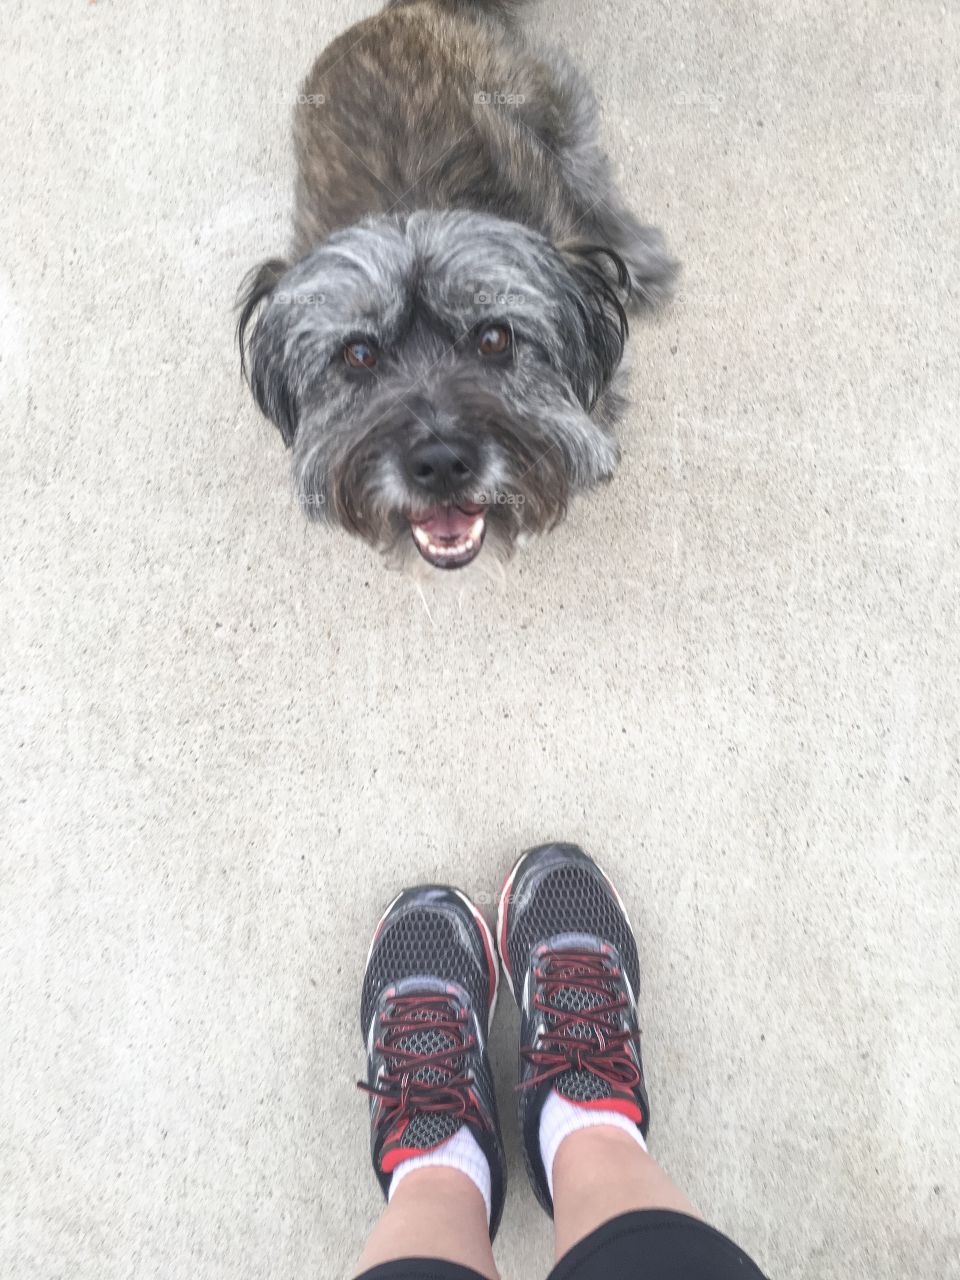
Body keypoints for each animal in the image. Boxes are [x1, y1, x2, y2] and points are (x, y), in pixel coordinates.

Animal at [239, 0, 675, 570]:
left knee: (590, 180)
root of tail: (402, 9)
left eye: (494, 338)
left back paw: (641, 262)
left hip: (554, 117)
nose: (441, 464)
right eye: (359, 354)